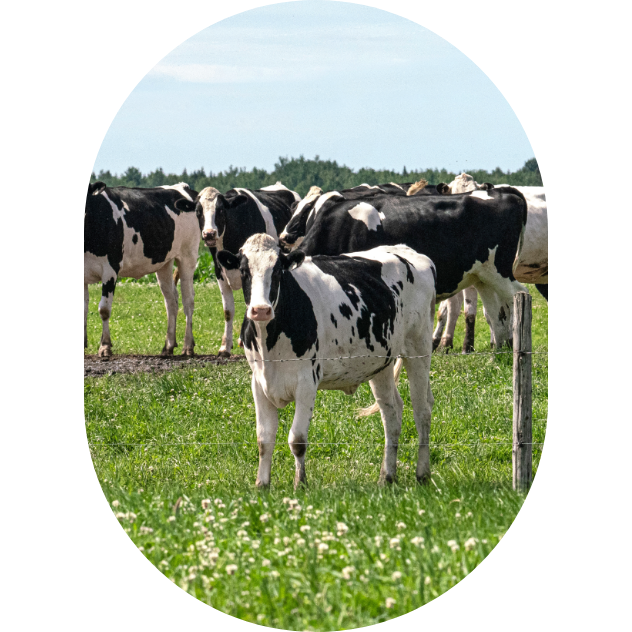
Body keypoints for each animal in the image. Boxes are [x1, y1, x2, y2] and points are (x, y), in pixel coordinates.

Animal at [84, 180, 200, 358]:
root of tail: (182, 187)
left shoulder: (110, 269)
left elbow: (104, 309)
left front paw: (105, 346)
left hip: (188, 256)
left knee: (188, 301)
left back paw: (187, 346)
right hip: (164, 263)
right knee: (171, 300)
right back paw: (168, 346)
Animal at [174, 181, 300, 356]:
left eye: (221, 210)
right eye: (198, 212)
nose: (209, 234)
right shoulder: (220, 272)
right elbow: (228, 311)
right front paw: (225, 346)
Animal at [215, 236, 436, 488]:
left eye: (278, 270)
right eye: (244, 270)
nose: (260, 310)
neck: (269, 344)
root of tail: (407, 250)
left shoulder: (307, 382)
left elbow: (297, 439)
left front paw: (300, 483)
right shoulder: (259, 382)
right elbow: (264, 439)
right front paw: (262, 485)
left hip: (418, 348)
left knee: (422, 410)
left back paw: (422, 473)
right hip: (381, 363)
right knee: (392, 412)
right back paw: (387, 476)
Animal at [296, 188, 528, 348]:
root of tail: (502, 192)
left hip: (501, 271)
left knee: (518, 296)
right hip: (483, 277)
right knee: (495, 313)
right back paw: (497, 357)